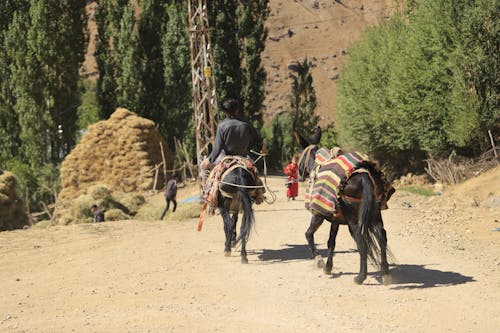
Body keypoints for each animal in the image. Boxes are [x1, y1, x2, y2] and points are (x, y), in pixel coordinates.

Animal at [294, 129, 392, 282]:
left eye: (299, 154)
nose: (299, 175)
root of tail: (364, 175)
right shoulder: (335, 220)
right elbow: (331, 242)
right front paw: (328, 267)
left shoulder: (318, 215)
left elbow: (309, 234)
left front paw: (319, 261)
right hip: (376, 214)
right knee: (382, 237)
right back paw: (385, 273)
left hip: (354, 222)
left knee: (362, 243)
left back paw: (360, 277)